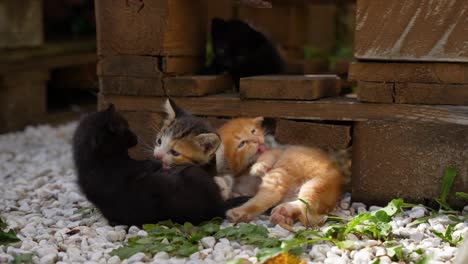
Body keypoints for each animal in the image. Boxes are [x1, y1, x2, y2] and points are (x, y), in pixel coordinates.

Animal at [72, 104, 247, 226]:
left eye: (175, 152)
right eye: (159, 141)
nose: (157, 155)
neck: (94, 162)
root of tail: (213, 207)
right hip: (192, 175)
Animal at [218, 117, 346, 227]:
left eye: (253, 131)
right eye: (242, 143)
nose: (257, 141)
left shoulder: (276, 151)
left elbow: (266, 156)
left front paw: (258, 167)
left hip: (307, 182)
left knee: (304, 210)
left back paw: (239, 212)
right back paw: (283, 213)